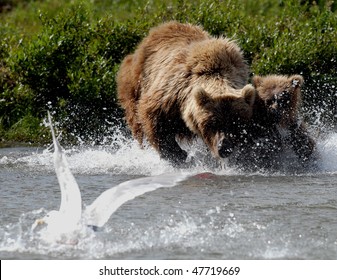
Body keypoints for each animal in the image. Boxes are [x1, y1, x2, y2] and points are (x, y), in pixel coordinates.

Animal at [116, 21, 255, 166]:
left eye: (236, 122)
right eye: (213, 123)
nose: (224, 147)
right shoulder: (171, 94)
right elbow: (152, 117)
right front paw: (178, 155)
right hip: (136, 81)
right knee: (136, 121)